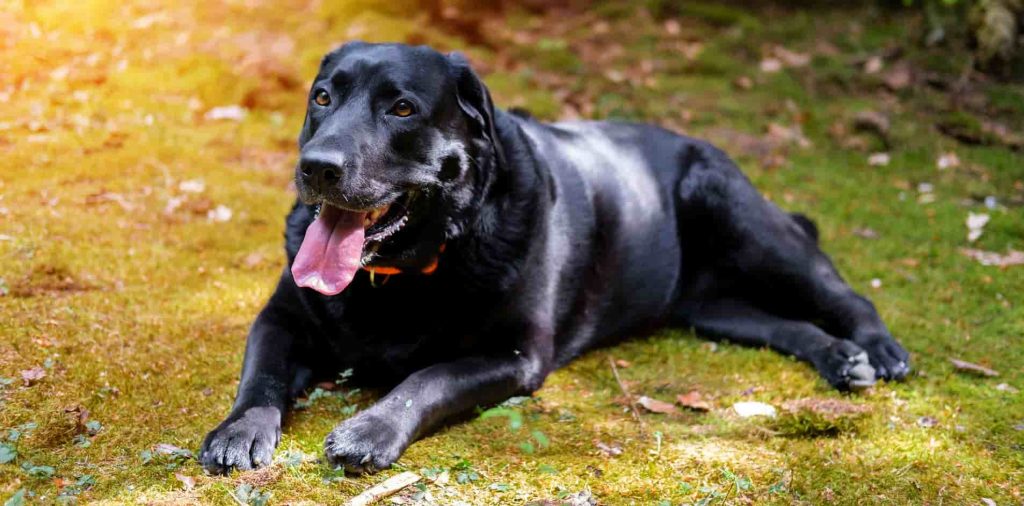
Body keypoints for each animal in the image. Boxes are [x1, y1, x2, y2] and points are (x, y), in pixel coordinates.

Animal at [197, 42, 913, 475]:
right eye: (322, 97)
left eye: (402, 107)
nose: (316, 167)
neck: (405, 271)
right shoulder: (281, 318)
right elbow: (260, 375)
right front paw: (239, 431)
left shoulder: (517, 356)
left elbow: (426, 379)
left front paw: (369, 431)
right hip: (711, 308)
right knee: (780, 324)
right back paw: (840, 357)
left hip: (746, 221)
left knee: (843, 292)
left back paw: (876, 350)